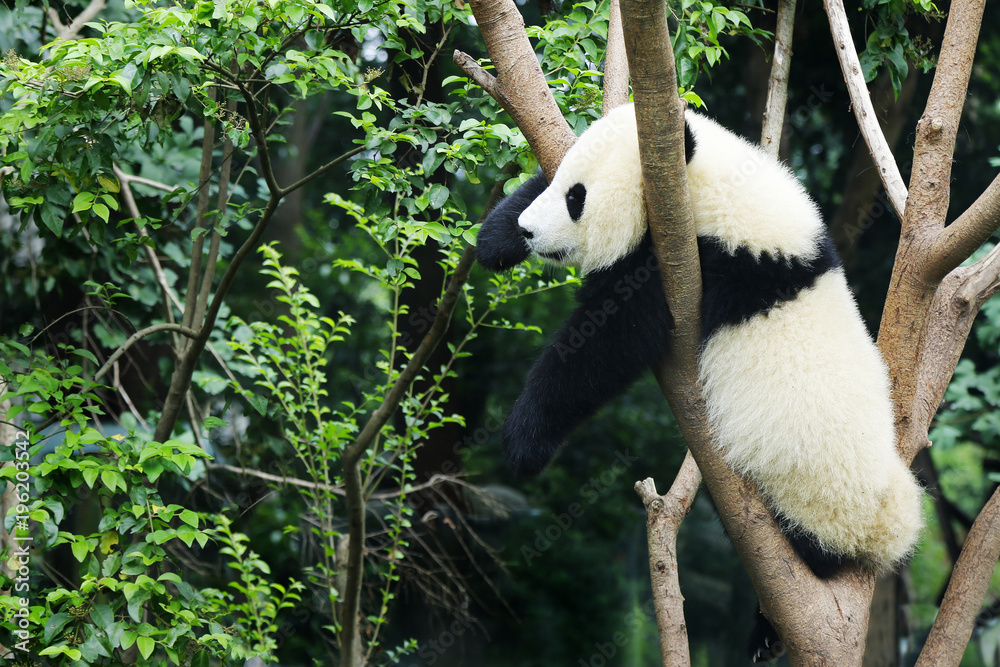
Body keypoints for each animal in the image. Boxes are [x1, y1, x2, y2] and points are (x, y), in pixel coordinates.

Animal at [474, 103, 920, 584]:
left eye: (577, 198)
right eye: (559, 182)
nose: (528, 231)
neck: (707, 191)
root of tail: (886, 533)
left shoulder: (700, 262)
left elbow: (611, 339)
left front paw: (523, 440)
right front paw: (494, 239)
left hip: (822, 498)